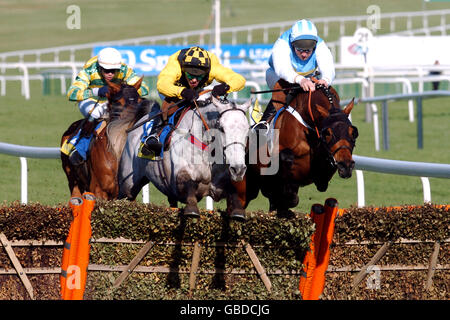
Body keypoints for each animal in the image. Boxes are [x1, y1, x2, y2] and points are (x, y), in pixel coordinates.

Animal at [234, 79, 356, 216]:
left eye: (353, 132)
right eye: (328, 133)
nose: (346, 165)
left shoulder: (322, 172)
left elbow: (323, 178)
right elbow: (285, 157)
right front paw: (290, 196)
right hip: (247, 185)